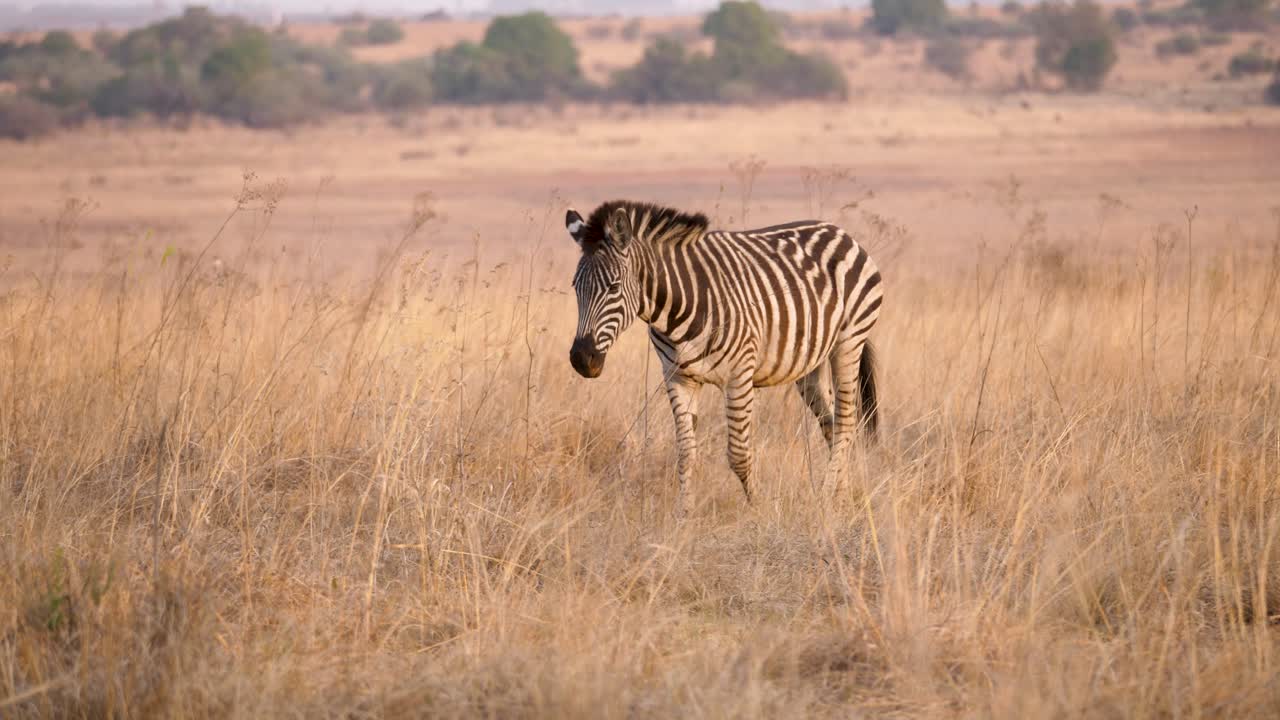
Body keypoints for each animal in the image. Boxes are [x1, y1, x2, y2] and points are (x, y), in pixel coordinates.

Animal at [567, 200, 882, 516]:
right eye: (575, 287)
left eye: (614, 287)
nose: (581, 359)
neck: (678, 307)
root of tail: (840, 232)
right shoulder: (678, 376)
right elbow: (685, 452)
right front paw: (684, 515)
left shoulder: (739, 375)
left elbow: (739, 455)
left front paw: (758, 508)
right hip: (810, 364)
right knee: (831, 425)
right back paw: (840, 496)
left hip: (848, 344)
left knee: (845, 424)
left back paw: (826, 497)